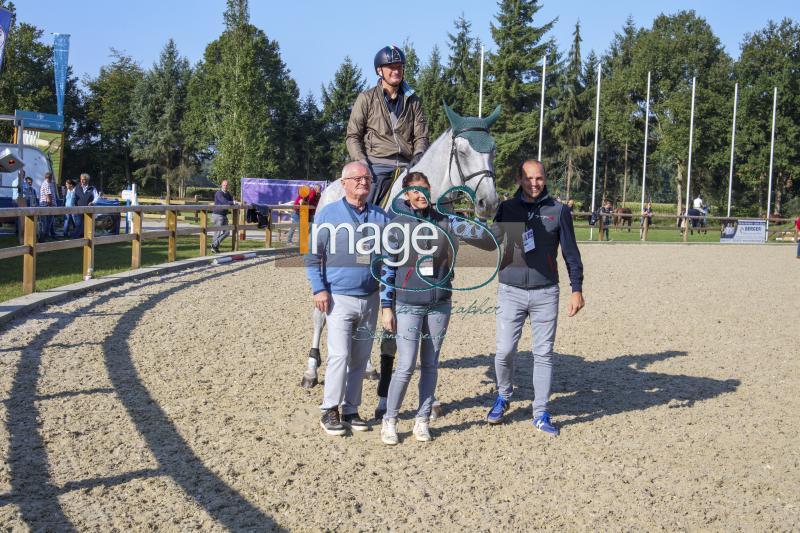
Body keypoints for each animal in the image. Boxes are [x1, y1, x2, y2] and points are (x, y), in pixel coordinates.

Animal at [302, 104, 500, 386]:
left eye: (493, 150)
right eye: (462, 152)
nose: (489, 203)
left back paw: (367, 367)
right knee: (321, 313)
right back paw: (311, 370)